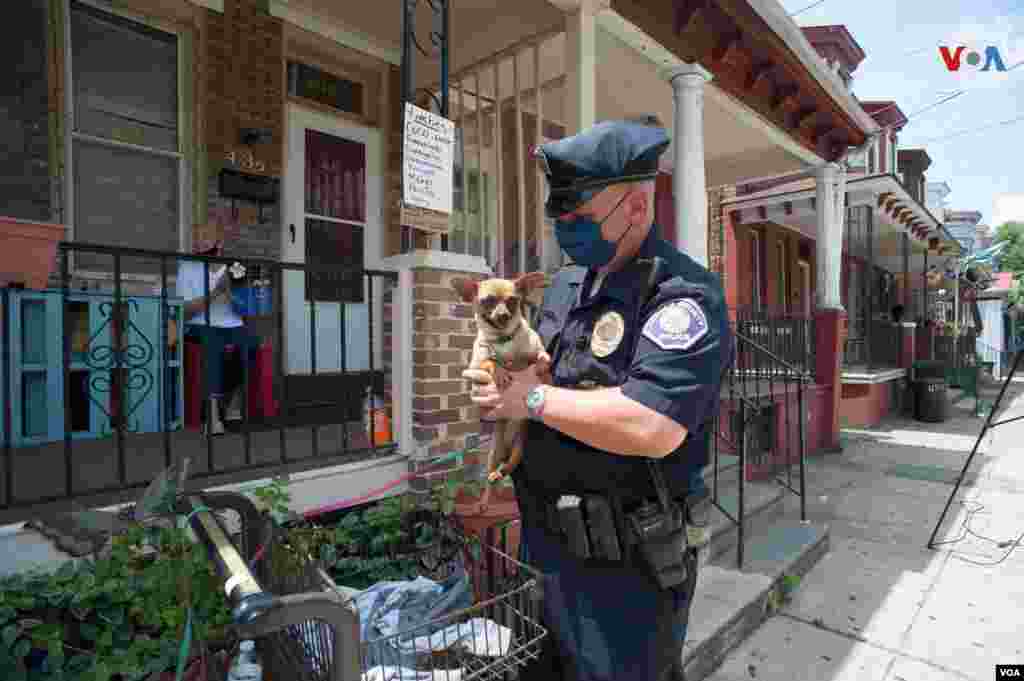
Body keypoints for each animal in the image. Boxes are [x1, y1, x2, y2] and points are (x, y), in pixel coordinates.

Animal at [450, 270, 548, 489]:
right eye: (488, 301)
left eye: (512, 300)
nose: (503, 315)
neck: (504, 340)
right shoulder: (475, 367)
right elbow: (490, 360)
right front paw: (501, 371)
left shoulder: (537, 351)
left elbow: (542, 359)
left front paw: (543, 371)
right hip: (493, 453)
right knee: (492, 478)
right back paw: (491, 483)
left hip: (519, 446)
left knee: (510, 464)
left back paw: (500, 473)